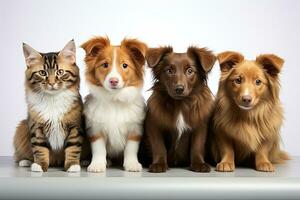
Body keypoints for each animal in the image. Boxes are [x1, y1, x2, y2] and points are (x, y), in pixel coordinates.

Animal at [13, 40, 84, 172]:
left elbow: (73, 147)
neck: (52, 99)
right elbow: (39, 148)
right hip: (22, 126)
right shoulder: (36, 127)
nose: (51, 83)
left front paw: (72, 165)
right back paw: (25, 161)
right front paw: (39, 165)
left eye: (60, 72)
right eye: (42, 73)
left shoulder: (75, 126)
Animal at [81, 36, 147, 173]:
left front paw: (132, 164)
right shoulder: (96, 129)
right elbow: (99, 149)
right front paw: (97, 165)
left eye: (125, 65)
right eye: (105, 65)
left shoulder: (135, 129)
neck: (115, 99)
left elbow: (131, 149)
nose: (113, 81)